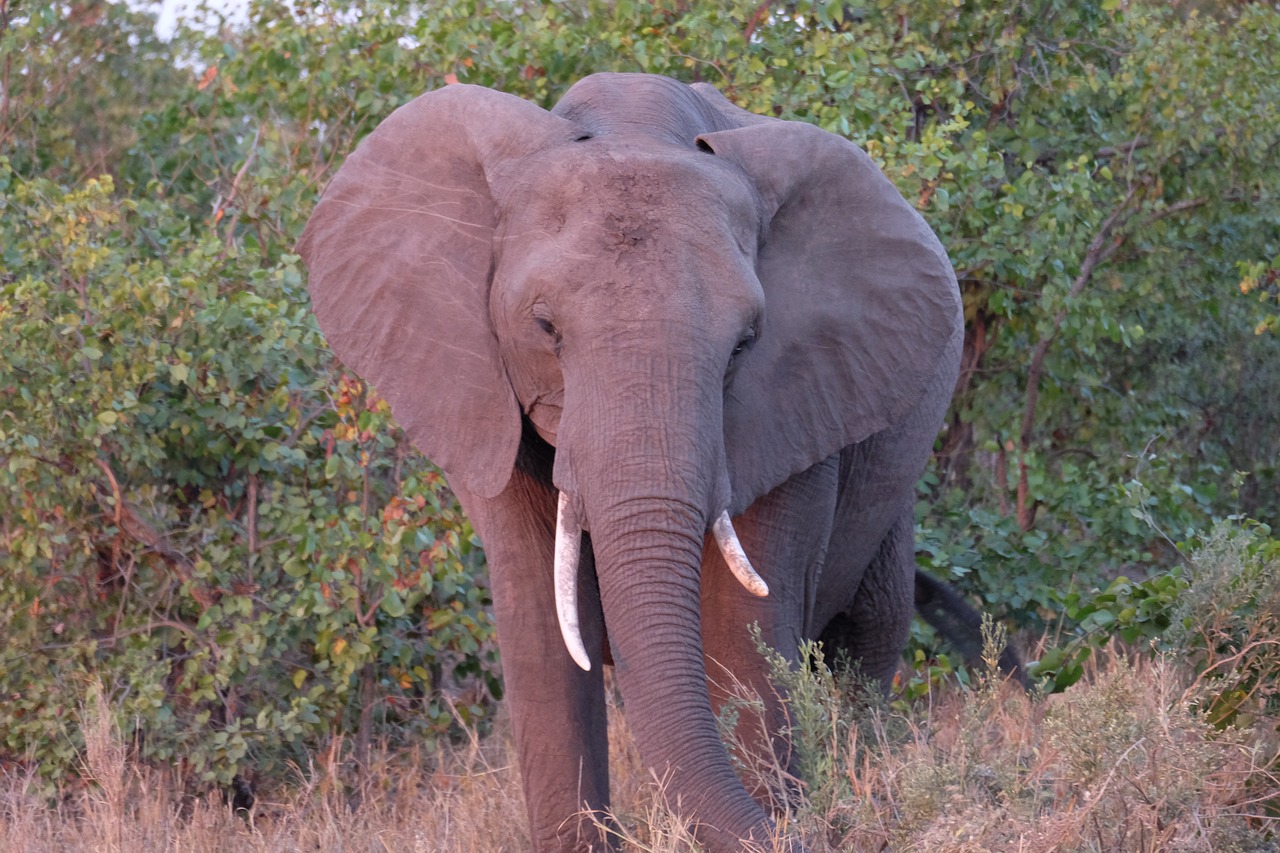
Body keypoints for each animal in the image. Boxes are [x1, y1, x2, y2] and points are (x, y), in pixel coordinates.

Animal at [299, 73, 1018, 850]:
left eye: (745, 342)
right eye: (543, 327)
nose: (821, 830)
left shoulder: (798, 401)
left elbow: (743, 628)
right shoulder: (483, 396)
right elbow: (542, 633)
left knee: (867, 637)